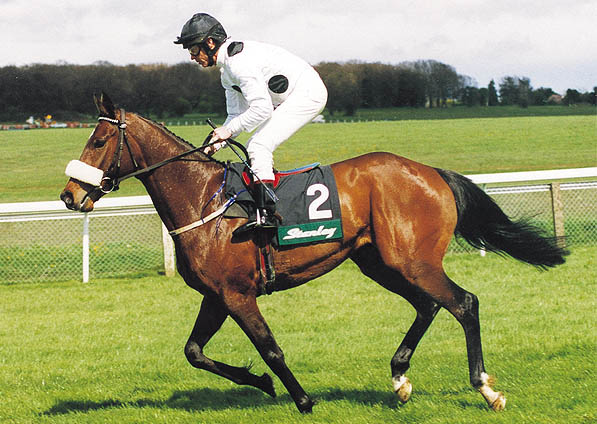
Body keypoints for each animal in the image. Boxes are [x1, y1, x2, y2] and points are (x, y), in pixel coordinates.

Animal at [60, 93, 568, 414]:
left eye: (99, 141)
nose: (69, 195)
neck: (203, 201)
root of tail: (432, 173)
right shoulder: (216, 295)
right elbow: (194, 352)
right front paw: (261, 384)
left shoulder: (238, 294)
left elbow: (270, 348)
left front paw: (302, 399)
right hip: (379, 261)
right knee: (428, 305)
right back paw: (400, 378)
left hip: (412, 260)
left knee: (463, 303)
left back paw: (485, 389)